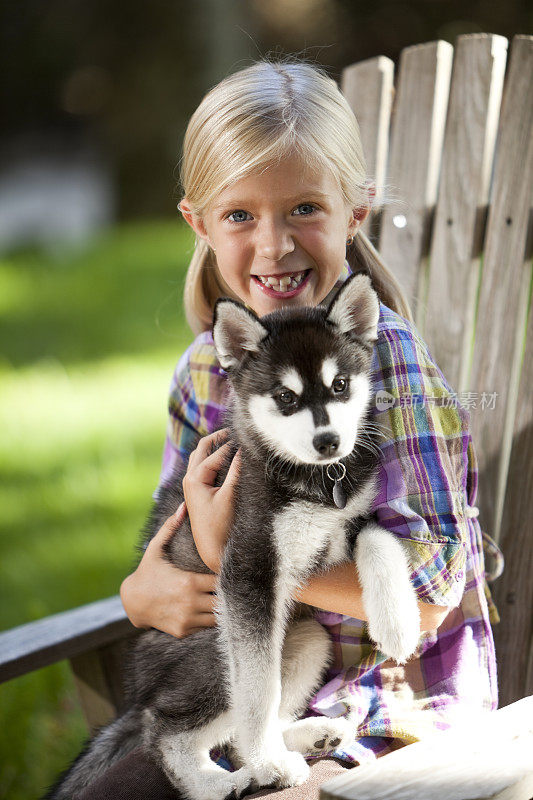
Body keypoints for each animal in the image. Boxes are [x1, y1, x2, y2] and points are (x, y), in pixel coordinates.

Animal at [45, 272, 420, 796]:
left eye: (340, 385)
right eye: (285, 397)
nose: (329, 442)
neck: (313, 478)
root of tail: (138, 692)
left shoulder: (346, 522)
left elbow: (381, 538)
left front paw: (397, 622)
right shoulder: (248, 567)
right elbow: (258, 689)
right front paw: (265, 759)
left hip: (307, 636)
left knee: (238, 726)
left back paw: (303, 738)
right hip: (210, 653)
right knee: (168, 731)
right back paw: (224, 779)